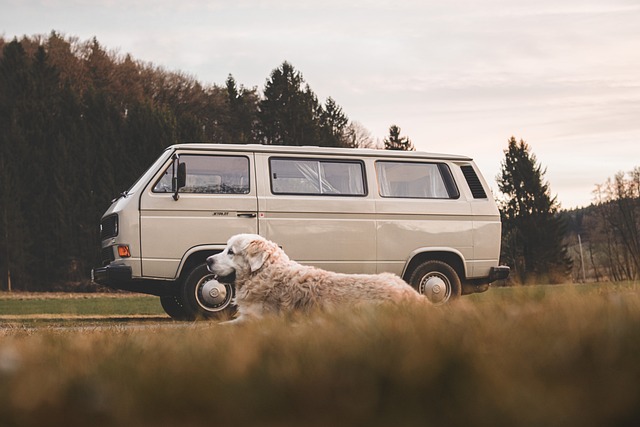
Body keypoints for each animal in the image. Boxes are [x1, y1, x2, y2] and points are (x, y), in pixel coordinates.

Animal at [208, 234, 422, 324]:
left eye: (230, 252)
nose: (208, 260)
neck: (264, 273)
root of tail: (415, 297)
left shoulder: (253, 320)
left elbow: (220, 327)